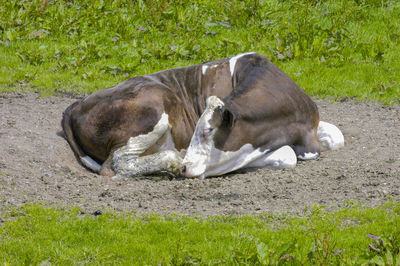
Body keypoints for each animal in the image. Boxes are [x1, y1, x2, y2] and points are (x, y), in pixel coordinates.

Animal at [62, 52, 344, 179]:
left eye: (207, 130)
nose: (187, 166)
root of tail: (76, 104)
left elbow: (337, 136)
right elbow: (286, 154)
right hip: (154, 104)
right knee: (117, 163)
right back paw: (172, 160)